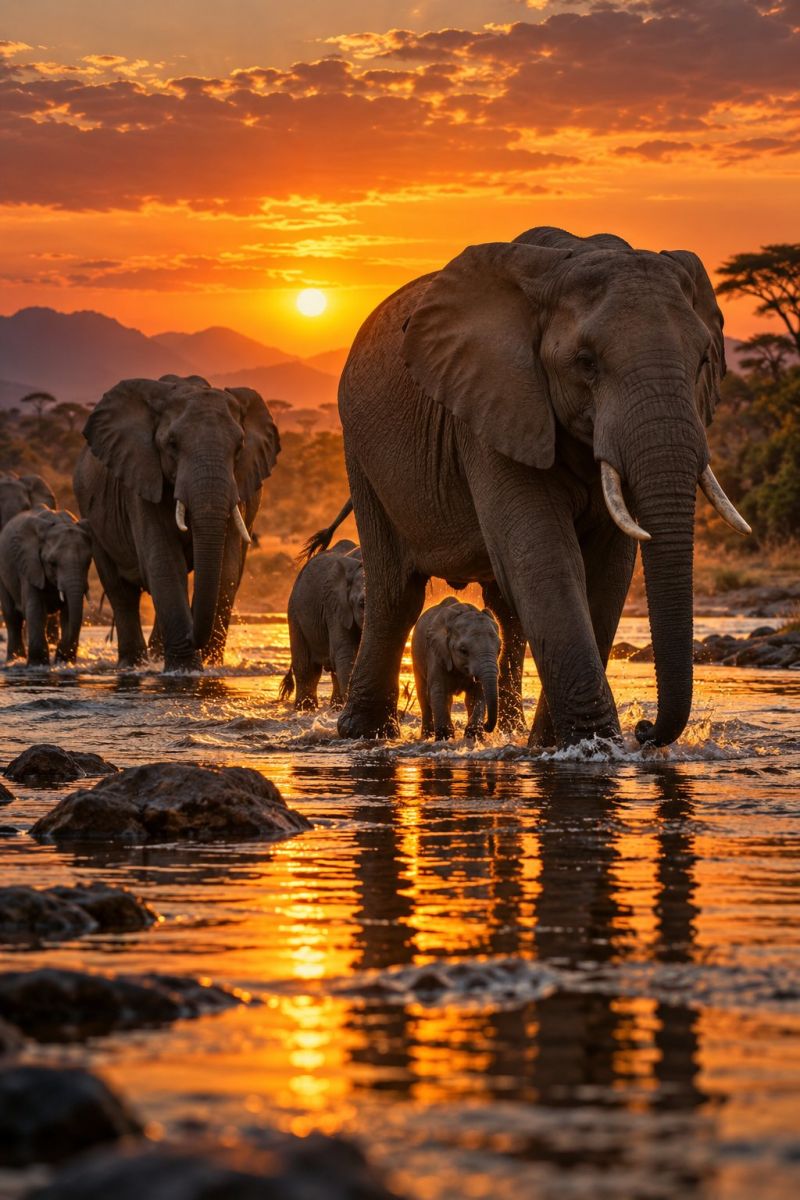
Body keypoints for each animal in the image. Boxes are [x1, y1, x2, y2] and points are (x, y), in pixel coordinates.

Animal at [0, 507, 92, 665]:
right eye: (52, 563)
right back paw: (14, 660)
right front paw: (38, 664)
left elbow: (69, 611)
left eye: (88, 562)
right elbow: (35, 608)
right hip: (3, 573)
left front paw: (64, 662)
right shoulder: (29, 565)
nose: (62, 652)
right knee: (12, 617)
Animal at [73, 374, 279, 671]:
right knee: (121, 592)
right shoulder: (141, 481)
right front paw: (185, 669)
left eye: (239, 447)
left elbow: (227, 570)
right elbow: (165, 563)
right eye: (172, 444)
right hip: (92, 518)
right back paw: (133, 664)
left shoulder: (239, 488)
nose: (193, 637)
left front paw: (210, 666)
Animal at [278, 539, 365, 709]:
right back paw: (305, 708)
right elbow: (346, 653)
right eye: (361, 604)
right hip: (295, 613)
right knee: (307, 668)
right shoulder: (335, 607)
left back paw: (335, 708)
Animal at [411, 597, 500, 739]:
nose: (487, 726)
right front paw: (445, 738)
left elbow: (477, 694)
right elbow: (439, 691)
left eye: (499, 650)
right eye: (463, 651)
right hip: (416, 656)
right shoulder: (436, 653)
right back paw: (426, 736)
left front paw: (473, 737)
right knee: (423, 695)